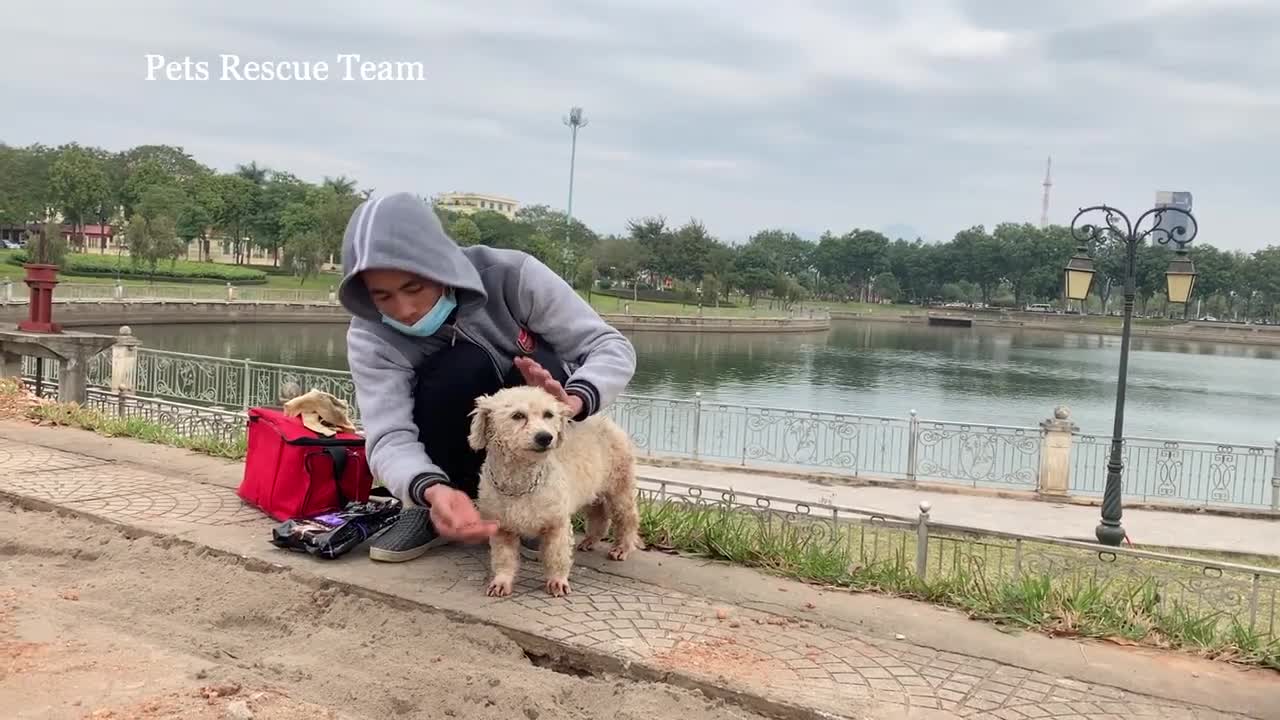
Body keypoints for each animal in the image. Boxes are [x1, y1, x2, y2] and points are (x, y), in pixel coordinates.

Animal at [468, 384, 640, 597]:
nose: (545, 437)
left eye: (548, 414)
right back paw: (591, 540)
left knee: (628, 518)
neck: (520, 485)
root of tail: (606, 420)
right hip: (590, 490)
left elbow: (556, 556)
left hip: (619, 487)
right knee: (598, 514)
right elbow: (503, 558)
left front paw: (557, 581)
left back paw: (623, 547)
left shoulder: (557, 524)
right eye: (517, 415)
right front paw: (501, 581)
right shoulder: (502, 527)